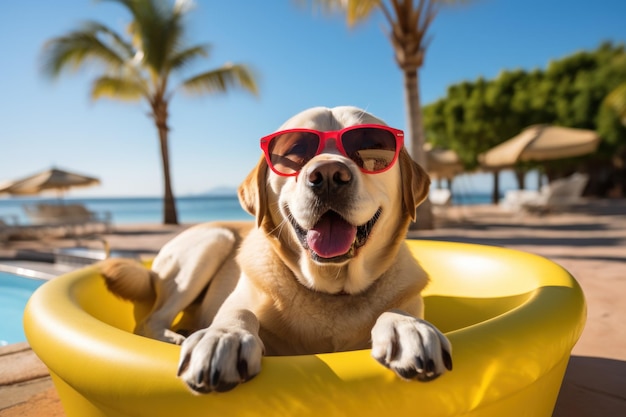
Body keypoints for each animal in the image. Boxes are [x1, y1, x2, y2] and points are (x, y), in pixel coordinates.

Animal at [98, 105, 448, 392]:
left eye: (371, 150)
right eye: (294, 152)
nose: (329, 175)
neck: (331, 290)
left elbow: (397, 308)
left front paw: (408, 328)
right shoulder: (241, 297)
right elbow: (238, 311)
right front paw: (224, 337)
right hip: (212, 242)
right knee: (150, 321)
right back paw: (176, 336)